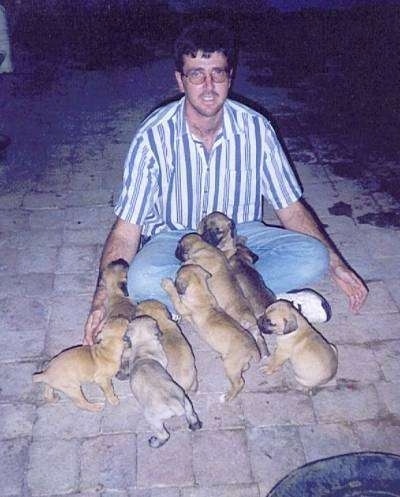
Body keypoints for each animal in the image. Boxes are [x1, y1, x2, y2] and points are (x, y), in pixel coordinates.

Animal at [31, 260, 138, 410]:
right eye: (124, 269)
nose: (122, 261)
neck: (117, 296)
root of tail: (46, 374)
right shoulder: (102, 380)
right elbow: (109, 390)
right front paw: (113, 400)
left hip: (53, 384)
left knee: (47, 390)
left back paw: (52, 398)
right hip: (74, 388)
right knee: (81, 402)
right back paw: (95, 406)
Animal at [123, 316, 202, 448]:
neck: (143, 345)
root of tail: (175, 405)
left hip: (153, 420)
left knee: (164, 435)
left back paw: (154, 442)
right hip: (187, 403)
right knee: (192, 416)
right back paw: (196, 425)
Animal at [161, 264, 260, 400]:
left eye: (177, 274)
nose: (178, 267)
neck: (201, 292)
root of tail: (252, 347)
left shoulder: (182, 307)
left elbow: (175, 297)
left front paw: (167, 284)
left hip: (230, 366)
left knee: (239, 383)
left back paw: (227, 397)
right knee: (245, 368)